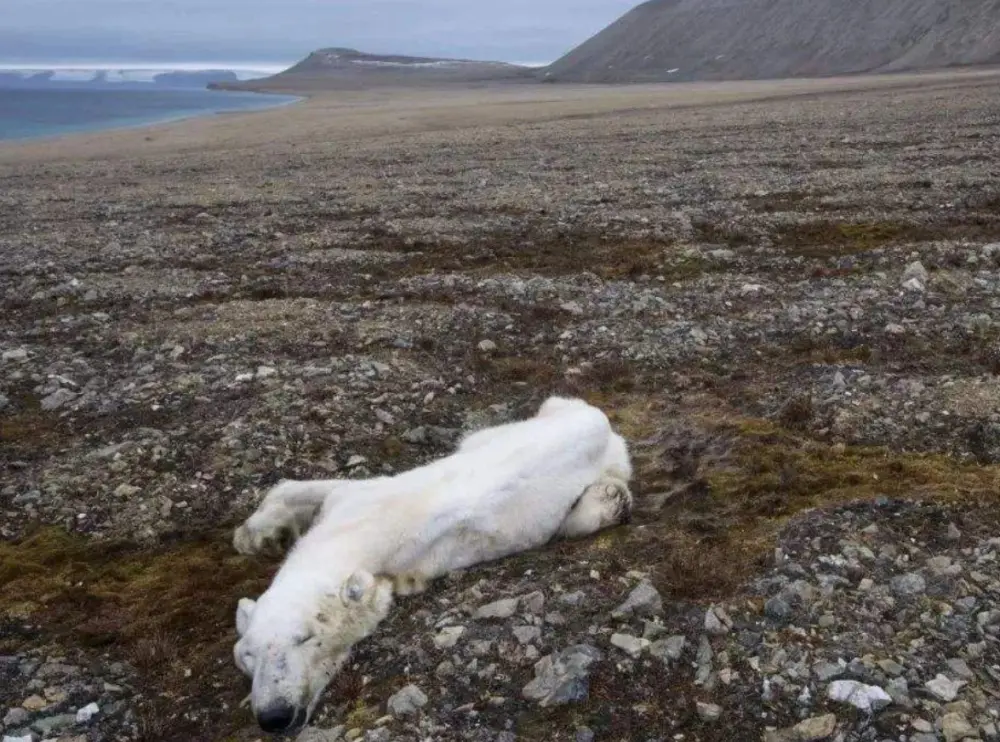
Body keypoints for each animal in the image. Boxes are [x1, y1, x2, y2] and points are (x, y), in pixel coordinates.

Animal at [232, 398, 632, 736]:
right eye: (249, 653)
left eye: (306, 638)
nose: (274, 716)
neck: (344, 537)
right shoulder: (352, 506)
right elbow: (305, 489)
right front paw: (257, 536)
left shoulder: (382, 533)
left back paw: (609, 500)